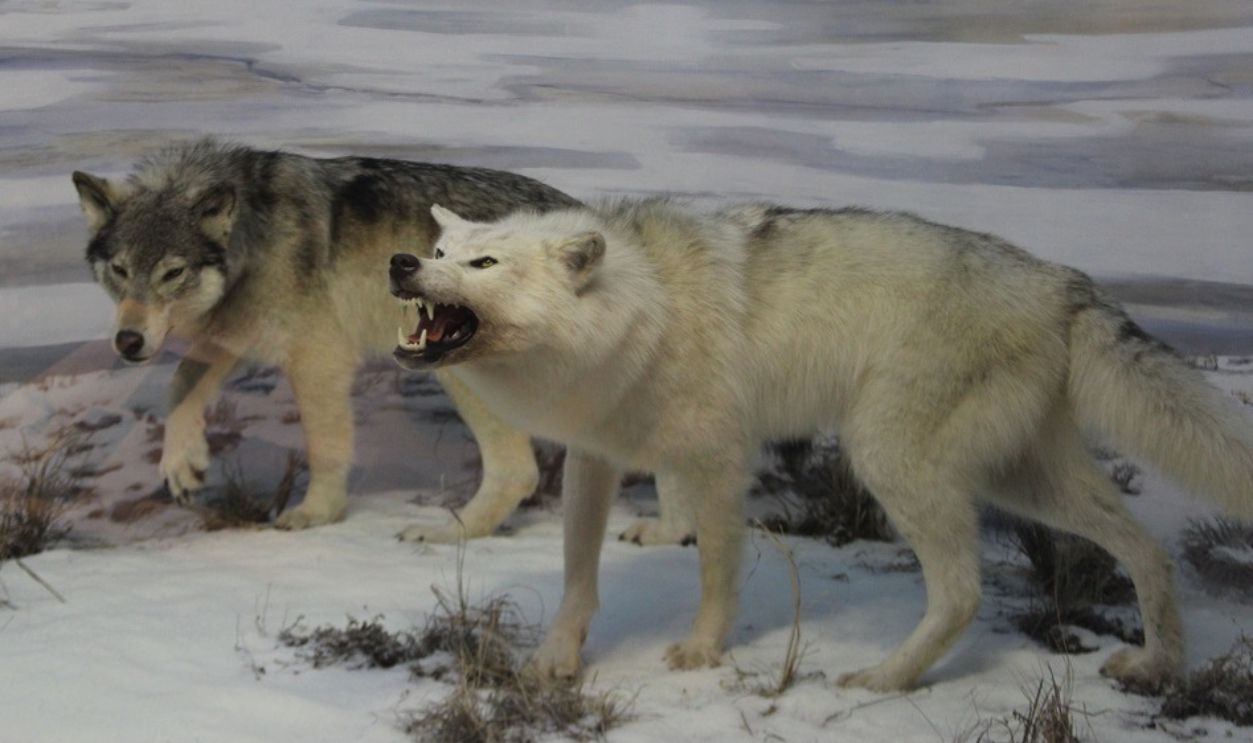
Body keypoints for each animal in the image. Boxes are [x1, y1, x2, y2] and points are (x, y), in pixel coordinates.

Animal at [70, 139, 593, 536]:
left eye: (172, 273)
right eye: (120, 270)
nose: (128, 342)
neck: (252, 235)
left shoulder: (317, 357)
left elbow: (324, 447)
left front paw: (316, 514)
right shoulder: (239, 331)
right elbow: (181, 382)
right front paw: (183, 465)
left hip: (458, 372)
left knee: (517, 470)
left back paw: (446, 535)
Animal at [388, 198, 1253, 692]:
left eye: (484, 262)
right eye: (440, 255)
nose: (400, 263)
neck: (643, 308)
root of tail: (1063, 279)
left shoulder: (719, 459)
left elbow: (715, 571)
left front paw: (701, 651)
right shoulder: (594, 458)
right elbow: (577, 576)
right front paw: (556, 661)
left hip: (891, 460)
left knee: (963, 593)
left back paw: (881, 679)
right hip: (1022, 481)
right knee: (1146, 549)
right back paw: (1157, 664)